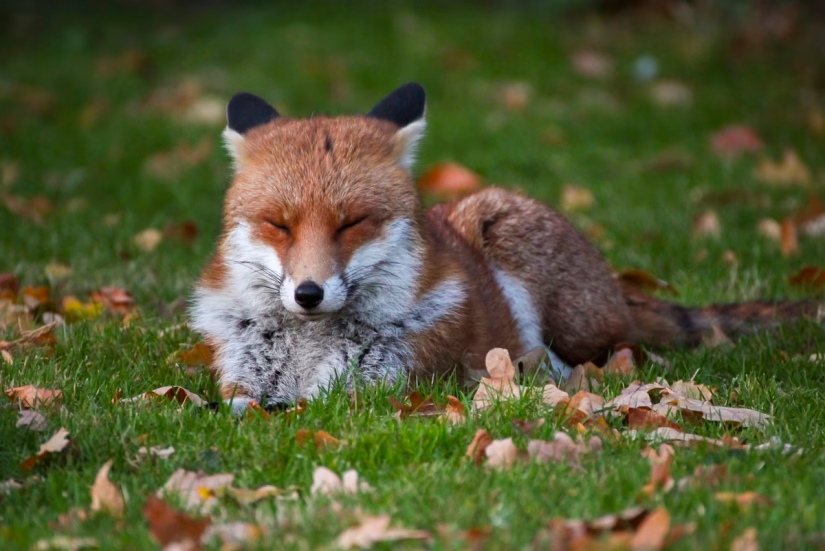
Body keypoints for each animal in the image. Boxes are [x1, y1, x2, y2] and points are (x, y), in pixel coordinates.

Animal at [191, 82, 823, 414]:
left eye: (351, 224)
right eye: (279, 225)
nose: (309, 293)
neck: (305, 351)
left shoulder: (379, 387)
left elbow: (308, 406)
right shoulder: (239, 380)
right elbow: (241, 405)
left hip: (534, 271)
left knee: (624, 352)